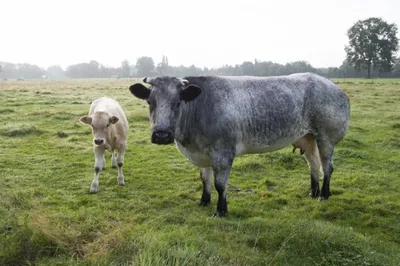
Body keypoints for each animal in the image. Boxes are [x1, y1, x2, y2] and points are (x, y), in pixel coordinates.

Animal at [129, 72, 350, 216]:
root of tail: (334, 87)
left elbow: (220, 184)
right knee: (313, 165)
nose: (161, 135)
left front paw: (221, 210)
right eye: (150, 102)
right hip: (307, 137)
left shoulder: (223, 153)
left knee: (327, 167)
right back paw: (313, 192)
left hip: (326, 137)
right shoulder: (202, 154)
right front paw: (203, 201)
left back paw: (324, 195)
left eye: (177, 103)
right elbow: (205, 180)